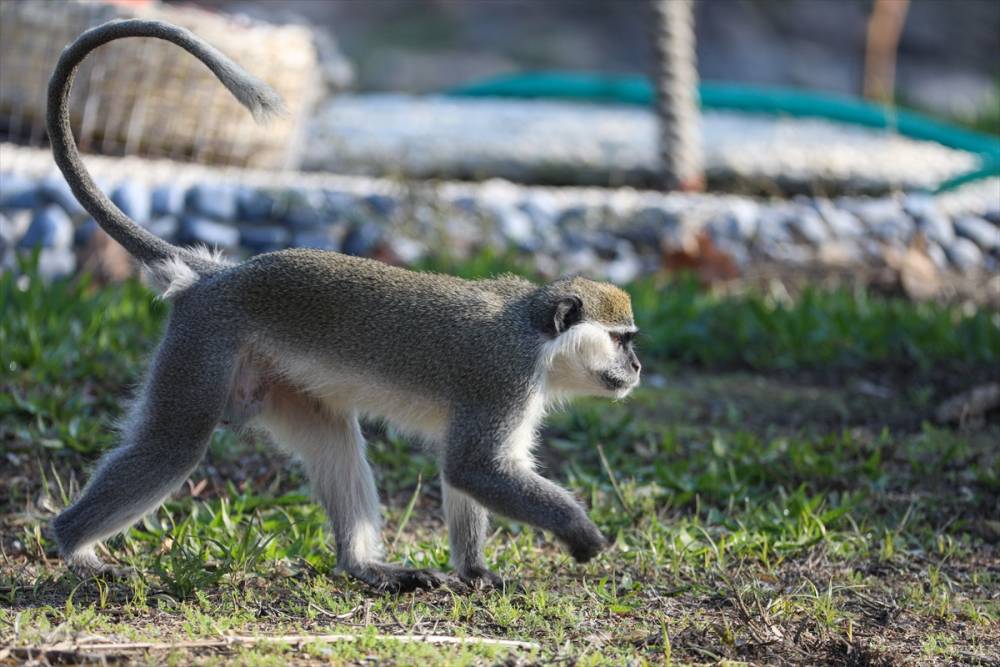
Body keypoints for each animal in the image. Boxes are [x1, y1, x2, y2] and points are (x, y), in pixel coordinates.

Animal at [47, 19, 640, 596]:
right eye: (621, 339)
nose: (636, 367)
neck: (536, 334)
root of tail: (215, 276)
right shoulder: (502, 380)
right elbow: (474, 468)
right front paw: (580, 530)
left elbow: (465, 473)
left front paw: (474, 572)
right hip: (204, 343)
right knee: (173, 445)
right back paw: (76, 546)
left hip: (280, 382)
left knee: (335, 444)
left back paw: (364, 566)